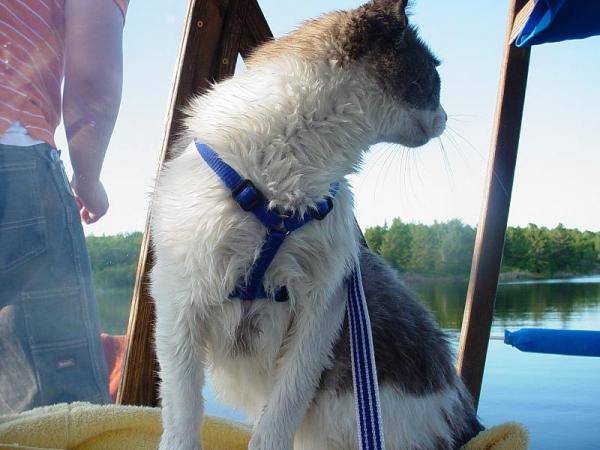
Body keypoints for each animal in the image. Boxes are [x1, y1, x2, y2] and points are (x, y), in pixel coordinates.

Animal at [150, 0, 482, 450]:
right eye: (435, 73)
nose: (446, 117)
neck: (281, 193)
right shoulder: (178, 301)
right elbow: (182, 414)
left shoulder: (321, 307)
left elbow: (279, 415)